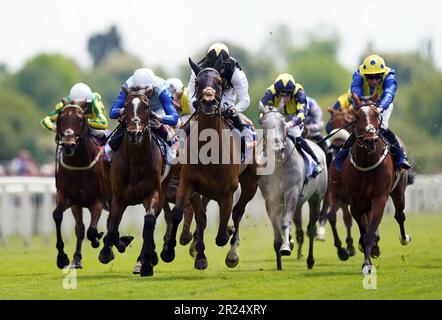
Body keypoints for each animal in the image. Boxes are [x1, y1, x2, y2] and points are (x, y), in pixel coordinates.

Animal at [52, 101, 108, 268]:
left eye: (79, 119)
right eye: (61, 118)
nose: (68, 145)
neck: (79, 166)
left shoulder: (98, 201)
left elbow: (92, 230)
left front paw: (96, 239)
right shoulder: (68, 198)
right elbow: (58, 216)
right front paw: (62, 257)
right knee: (80, 228)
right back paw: (76, 258)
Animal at [98, 85, 164, 278]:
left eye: (147, 107)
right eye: (125, 107)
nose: (135, 134)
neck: (135, 160)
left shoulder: (153, 193)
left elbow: (149, 222)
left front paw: (147, 263)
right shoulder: (118, 197)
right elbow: (112, 228)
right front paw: (109, 251)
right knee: (111, 224)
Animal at [161, 55, 258, 270]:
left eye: (219, 82)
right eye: (197, 82)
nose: (207, 101)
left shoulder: (228, 190)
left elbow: (222, 233)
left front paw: (227, 236)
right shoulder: (188, 184)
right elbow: (180, 214)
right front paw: (170, 251)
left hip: (251, 184)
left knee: (238, 212)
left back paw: (232, 253)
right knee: (203, 217)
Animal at [258, 107, 326, 270]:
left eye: (283, 123)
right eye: (263, 124)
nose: (277, 149)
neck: (279, 166)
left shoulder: (292, 193)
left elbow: (285, 222)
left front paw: (285, 247)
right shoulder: (270, 198)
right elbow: (276, 226)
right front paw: (280, 251)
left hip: (316, 199)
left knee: (311, 229)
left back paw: (310, 260)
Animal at [342, 93, 410, 276]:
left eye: (376, 114)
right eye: (357, 116)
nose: (370, 140)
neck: (366, 164)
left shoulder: (379, 198)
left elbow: (370, 232)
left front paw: (367, 263)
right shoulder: (355, 203)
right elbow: (364, 230)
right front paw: (367, 258)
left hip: (399, 192)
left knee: (399, 215)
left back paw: (404, 238)